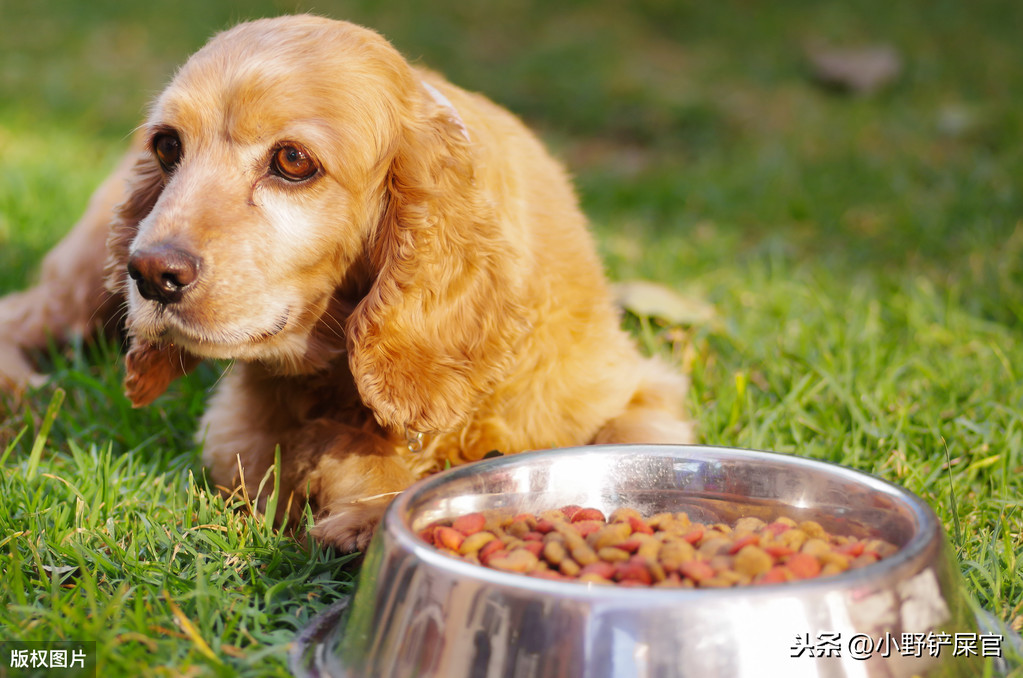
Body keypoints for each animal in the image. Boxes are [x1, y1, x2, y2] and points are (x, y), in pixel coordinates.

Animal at [0, 14, 695, 552]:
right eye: (168, 146)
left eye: (292, 161)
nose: (151, 274)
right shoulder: (239, 438)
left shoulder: (632, 389)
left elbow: (629, 448)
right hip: (84, 283)